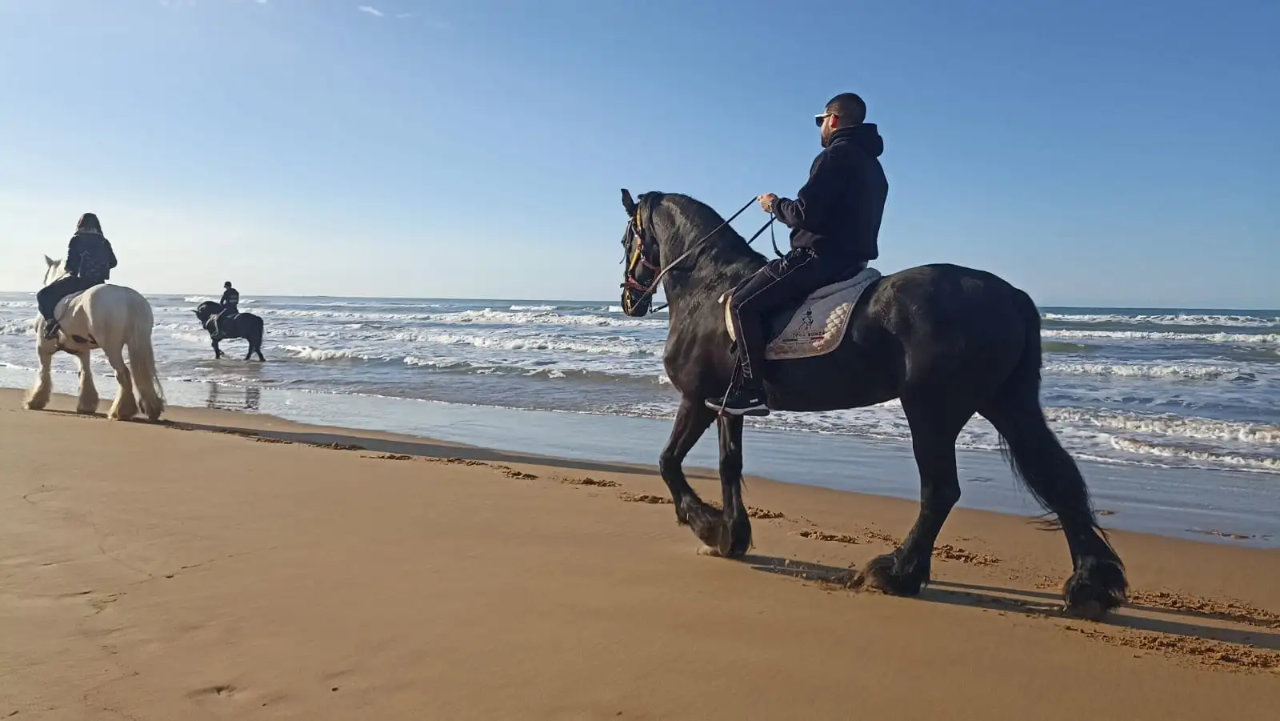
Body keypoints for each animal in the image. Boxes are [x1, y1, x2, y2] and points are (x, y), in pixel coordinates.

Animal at [25, 256, 166, 422]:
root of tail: (127, 297)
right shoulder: (82, 351)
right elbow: (85, 373)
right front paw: (86, 405)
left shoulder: (43, 348)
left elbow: (44, 372)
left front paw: (34, 401)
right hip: (139, 342)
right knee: (143, 376)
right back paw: (151, 409)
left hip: (111, 346)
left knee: (123, 373)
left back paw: (121, 411)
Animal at [616, 189, 1127, 618]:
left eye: (625, 239)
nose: (627, 300)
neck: (710, 287)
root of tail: (1015, 297)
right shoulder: (727, 404)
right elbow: (728, 466)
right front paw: (729, 535)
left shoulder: (696, 400)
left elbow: (668, 462)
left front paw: (705, 526)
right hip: (1008, 403)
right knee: (1056, 477)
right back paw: (1090, 585)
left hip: (932, 409)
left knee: (941, 490)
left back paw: (897, 572)